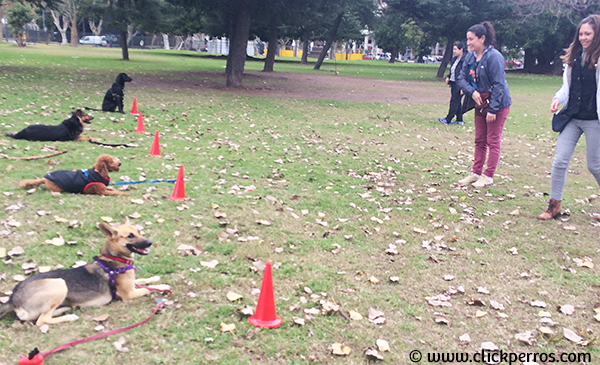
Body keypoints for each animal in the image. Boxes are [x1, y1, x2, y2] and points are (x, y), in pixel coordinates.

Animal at [0, 218, 170, 326]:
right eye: (130, 236)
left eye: (139, 231)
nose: (150, 243)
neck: (113, 258)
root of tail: (12, 299)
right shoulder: (129, 294)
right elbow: (148, 289)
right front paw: (162, 287)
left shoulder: (132, 283)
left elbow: (143, 280)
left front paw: (155, 278)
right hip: (59, 284)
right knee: (41, 320)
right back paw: (70, 316)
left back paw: (65, 309)